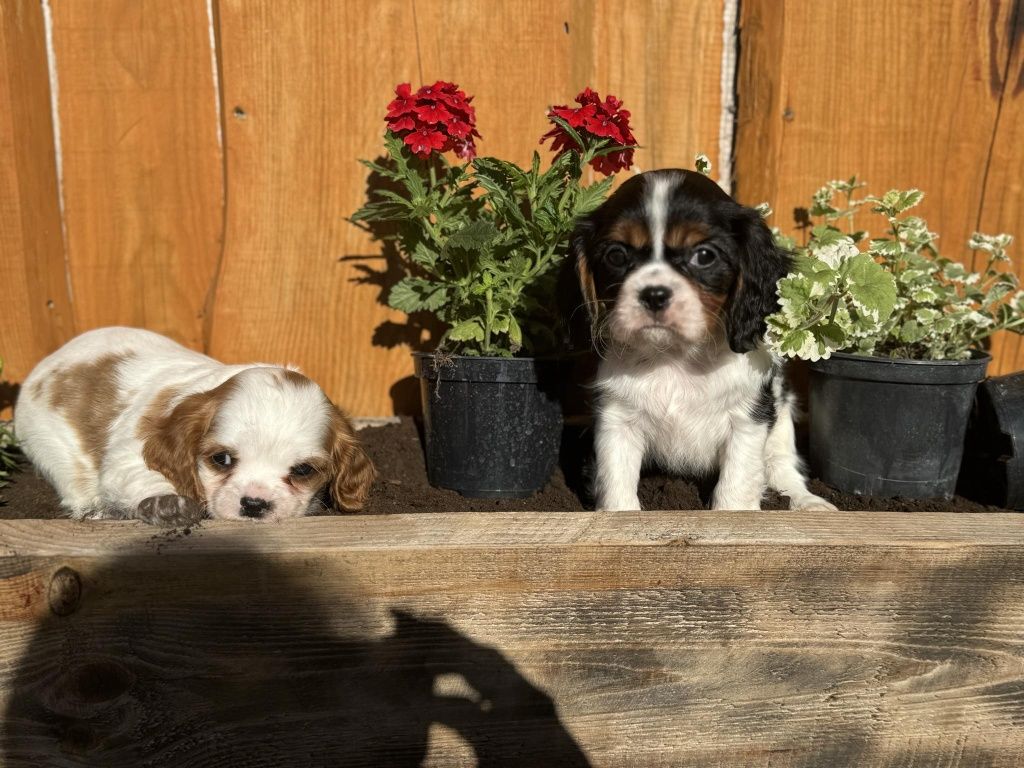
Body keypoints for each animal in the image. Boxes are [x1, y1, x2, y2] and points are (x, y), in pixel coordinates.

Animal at [12, 327, 376, 528]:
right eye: (222, 460)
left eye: (302, 471)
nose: (254, 504)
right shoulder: (129, 456)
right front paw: (168, 503)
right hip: (45, 445)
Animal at [573, 171, 835, 514]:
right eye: (616, 255)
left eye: (704, 256)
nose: (654, 294)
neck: (675, 356)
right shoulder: (617, 420)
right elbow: (616, 481)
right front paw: (619, 515)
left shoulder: (748, 420)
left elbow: (736, 484)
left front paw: (732, 514)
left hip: (781, 420)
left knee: (781, 466)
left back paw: (807, 503)